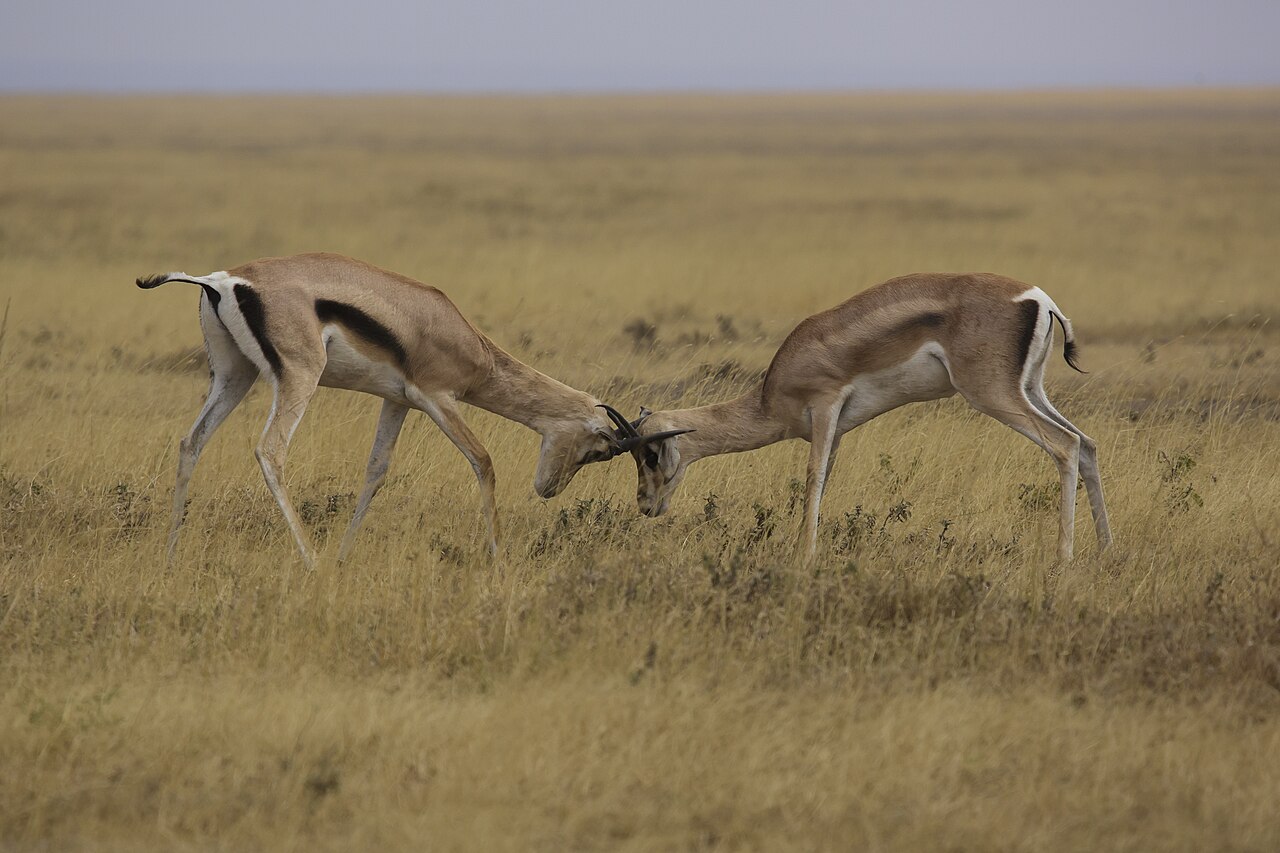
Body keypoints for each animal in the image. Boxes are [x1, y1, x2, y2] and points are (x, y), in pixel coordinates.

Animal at [138, 252, 678, 566]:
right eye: (600, 451)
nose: (547, 490)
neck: (462, 337)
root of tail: (220, 280)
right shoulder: (435, 399)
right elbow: (483, 461)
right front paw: (498, 559)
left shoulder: (395, 401)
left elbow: (376, 470)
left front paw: (345, 558)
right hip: (298, 378)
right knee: (270, 451)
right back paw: (310, 560)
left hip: (235, 376)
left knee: (190, 442)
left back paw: (170, 555)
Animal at [602, 273, 1113, 563]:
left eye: (649, 456)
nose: (645, 505)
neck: (770, 395)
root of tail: (1038, 299)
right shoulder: (838, 430)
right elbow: (825, 478)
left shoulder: (826, 406)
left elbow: (812, 477)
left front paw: (804, 556)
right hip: (1030, 389)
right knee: (1086, 444)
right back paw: (1106, 553)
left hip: (993, 394)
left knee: (1065, 446)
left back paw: (1063, 559)